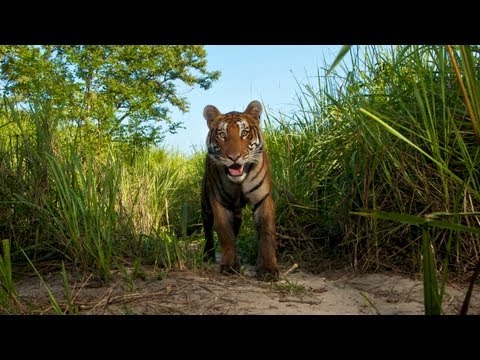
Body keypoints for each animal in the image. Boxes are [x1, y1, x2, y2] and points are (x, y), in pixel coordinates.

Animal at [201, 99, 280, 282]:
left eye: (244, 133)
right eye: (222, 134)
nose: (234, 157)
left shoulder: (263, 199)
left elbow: (266, 234)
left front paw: (268, 268)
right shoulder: (219, 202)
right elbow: (225, 233)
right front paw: (230, 265)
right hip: (206, 204)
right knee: (208, 229)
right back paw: (208, 255)